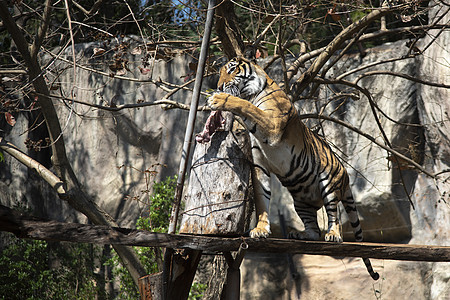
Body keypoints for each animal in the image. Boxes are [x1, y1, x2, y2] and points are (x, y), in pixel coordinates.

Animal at [207, 55, 380, 280]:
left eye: (231, 70)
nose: (219, 86)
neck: (253, 92)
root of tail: (345, 178)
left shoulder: (271, 125)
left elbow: (246, 106)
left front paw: (218, 99)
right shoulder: (260, 164)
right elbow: (262, 200)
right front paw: (261, 229)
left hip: (329, 184)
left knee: (334, 216)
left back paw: (333, 235)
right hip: (301, 201)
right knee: (314, 230)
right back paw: (299, 233)